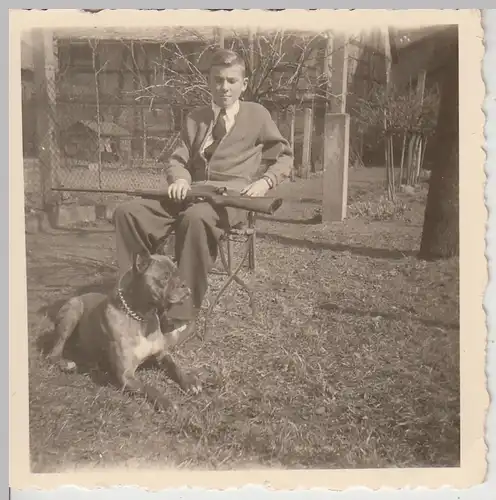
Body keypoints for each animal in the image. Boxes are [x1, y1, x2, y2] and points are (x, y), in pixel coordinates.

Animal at [47, 252, 202, 412]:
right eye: (165, 277)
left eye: (179, 274)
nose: (184, 284)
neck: (141, 317)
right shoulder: (126, 375)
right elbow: (148, 387)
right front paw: (165, 401)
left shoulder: (162, 355)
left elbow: (175, 367)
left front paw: (189, 381)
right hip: (73, 310)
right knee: (55, 350)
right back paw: (65, 363)